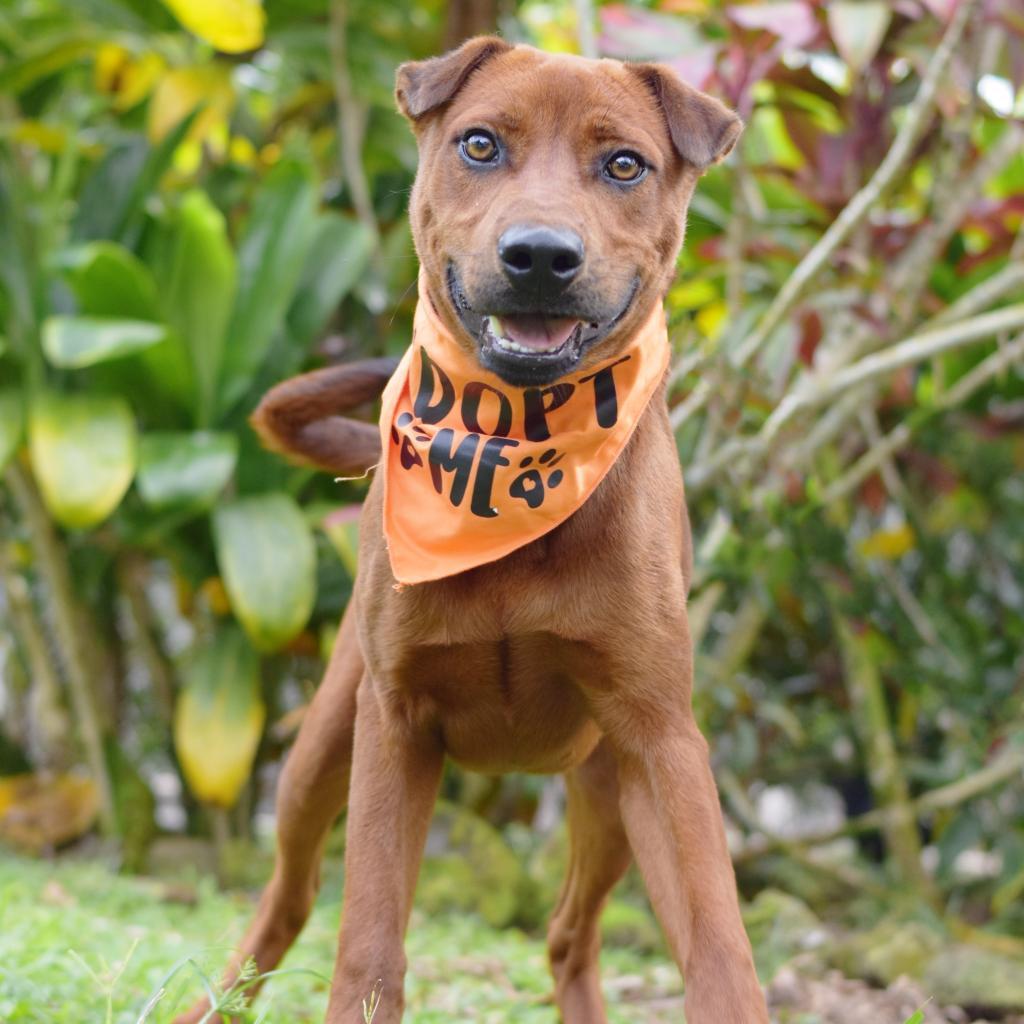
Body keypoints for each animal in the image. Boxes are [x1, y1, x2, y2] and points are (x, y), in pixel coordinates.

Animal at [176, 36, 770, 1024]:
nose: (539, 256)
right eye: (481, 144)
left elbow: (720, 952)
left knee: (569, 933)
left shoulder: (661, 741)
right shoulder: (394, 723)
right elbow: (368, 946)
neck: (510, 451)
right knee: (288, 898)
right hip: (317, 754)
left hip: (609, 793)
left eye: (625, 165)